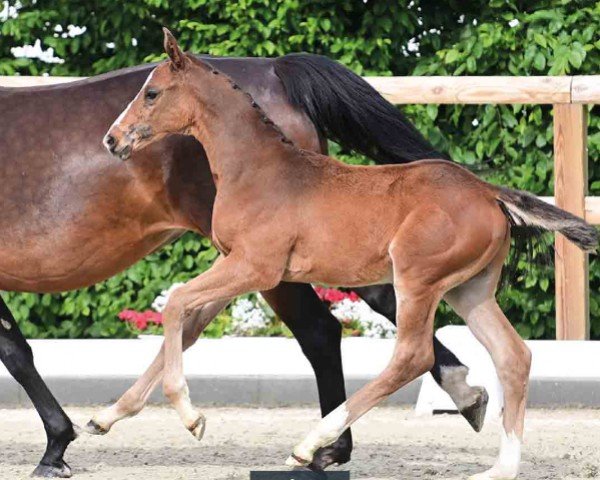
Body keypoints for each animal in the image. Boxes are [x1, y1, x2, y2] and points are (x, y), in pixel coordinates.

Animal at [1, 51, 482, 472]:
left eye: (152, 94)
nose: (111, 140)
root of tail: (276, 69)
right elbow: (17, 350)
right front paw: (61, 441)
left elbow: (16, 353)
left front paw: (56, 447)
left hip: (277, 261)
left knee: (322, 330)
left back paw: (329, 446)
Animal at [105, 31, 596, 480]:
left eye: (151, 93)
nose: (112, 140)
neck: (258, 170)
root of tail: (488, 192)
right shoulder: (235, 263)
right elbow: (187, 318)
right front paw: (109, 416)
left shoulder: (257, 268)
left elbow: (176, 303)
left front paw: (192, 418)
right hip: (470, 290)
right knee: (513, 356)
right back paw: (500, 468)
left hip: (419, 278)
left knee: (412, 356)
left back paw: (309, 444)